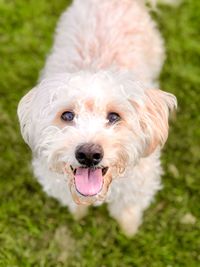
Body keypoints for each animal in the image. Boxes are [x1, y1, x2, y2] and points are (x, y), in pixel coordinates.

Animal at [17, 0, 177, 237]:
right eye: (67, 115)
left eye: (114, 116)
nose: (89, 154)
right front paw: (78, 214)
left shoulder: (140, 181)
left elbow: (128, 207)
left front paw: (129, 230)